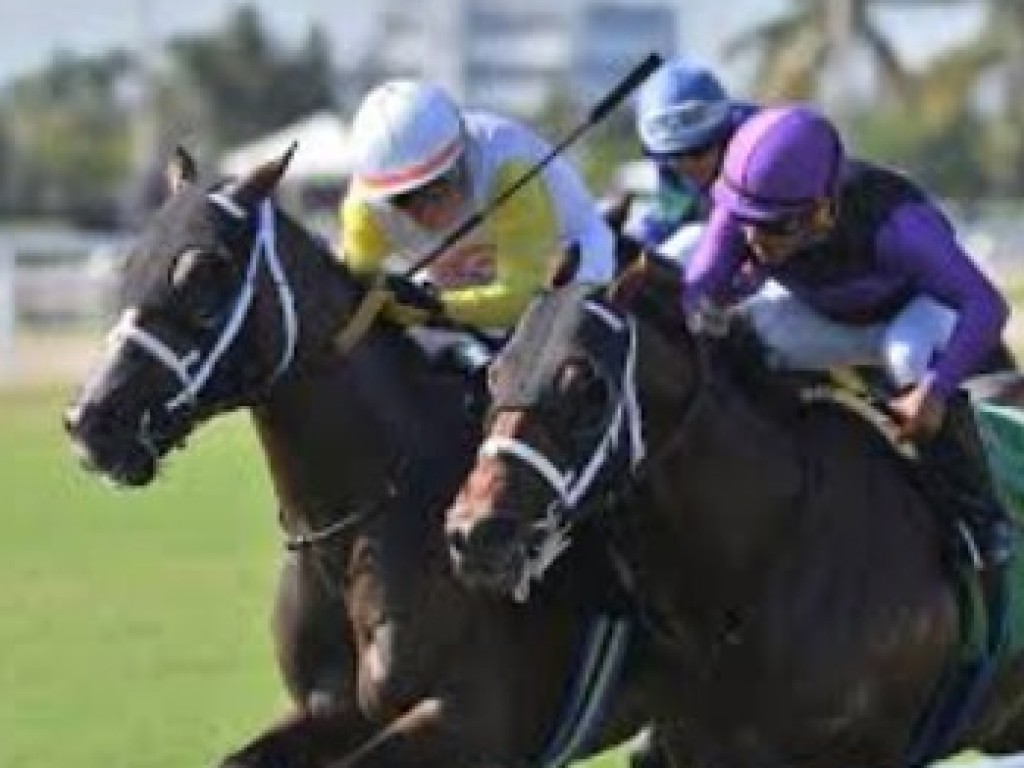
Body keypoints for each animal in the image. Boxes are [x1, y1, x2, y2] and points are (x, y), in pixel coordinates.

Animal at [61, 151, 688, 768]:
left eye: (204, 271)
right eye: (130, 263)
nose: (91, 421)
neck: (356, 525)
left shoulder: (470, 725)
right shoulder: (325, 712)